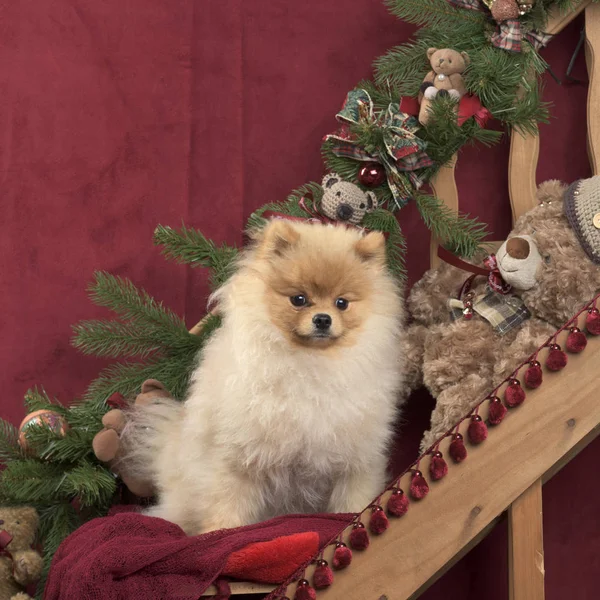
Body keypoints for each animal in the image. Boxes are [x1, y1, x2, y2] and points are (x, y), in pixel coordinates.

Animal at [126, 220, 408, 536]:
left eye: (342, 303)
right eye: (299, 299)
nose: (323, 319)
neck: (311, 364)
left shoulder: (355, 460)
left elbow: (353, 502)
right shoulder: (238, 456)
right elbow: (227, 504)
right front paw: (219, 532)